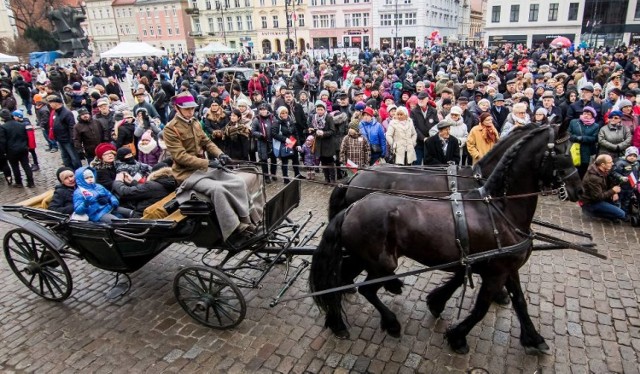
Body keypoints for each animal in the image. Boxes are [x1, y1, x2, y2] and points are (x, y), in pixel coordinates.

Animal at [308, 125, 584, 354]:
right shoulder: (495, 270)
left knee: (341, 279)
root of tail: (352, 197)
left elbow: (519, 302)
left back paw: (337, 321)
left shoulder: (504, 266)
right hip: (378, 262)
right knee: (362, 287)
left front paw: (533, 338)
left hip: (362, 257)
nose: (578, 191)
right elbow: (480, 307)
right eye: (563, 152)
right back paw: (388, 320)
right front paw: (457, 336)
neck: (499, 208)